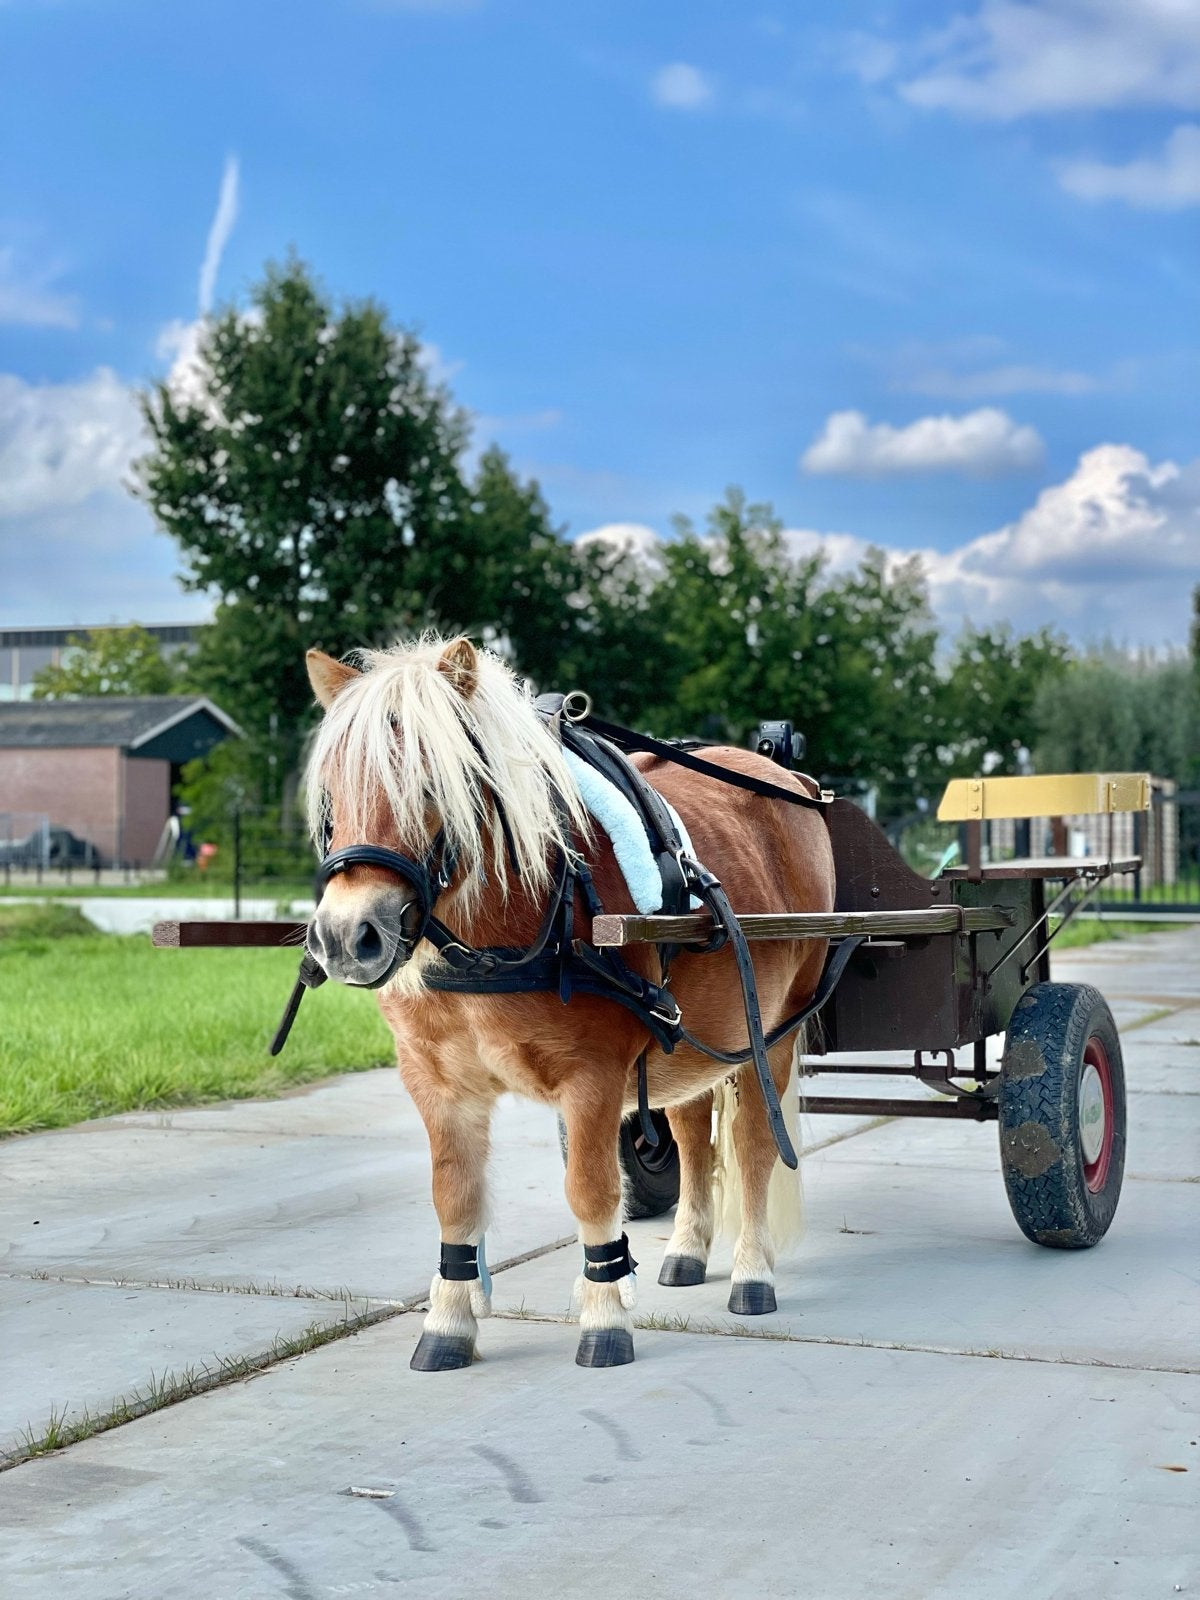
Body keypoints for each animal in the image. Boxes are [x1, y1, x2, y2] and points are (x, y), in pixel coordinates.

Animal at [304, 634, 835, 1370]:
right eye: (331, 794)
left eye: (432, 785)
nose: (347, 936)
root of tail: (793, 784)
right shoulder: (438, 1084)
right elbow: (455, 1198)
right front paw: (448, 1323)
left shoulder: (593, 1077)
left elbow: (591, 1192)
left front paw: (604, 1319)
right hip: (701, 1033)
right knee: (693, 1138)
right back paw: (688, 1248)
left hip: (774, 1030)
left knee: (755, 1145)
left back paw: (753, 1273)